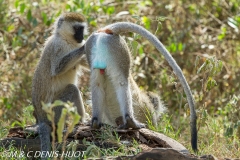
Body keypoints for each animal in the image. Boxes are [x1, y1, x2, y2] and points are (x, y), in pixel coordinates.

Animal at [31, 12, 87, 155]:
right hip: (53, 112)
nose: (82, 37)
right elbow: (57, 69)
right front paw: (85, 46)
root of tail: (41, 119)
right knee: (72, 89)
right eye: (77, 28)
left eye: (82, 28)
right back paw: (80, 122)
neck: (67, 40)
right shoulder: (57, 46)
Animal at [84, 22, 197, 151]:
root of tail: (106, 31)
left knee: (97, 81)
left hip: (92, 47)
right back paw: (130, 122)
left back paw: (95, 122)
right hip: (119, 48)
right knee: (122, 81)